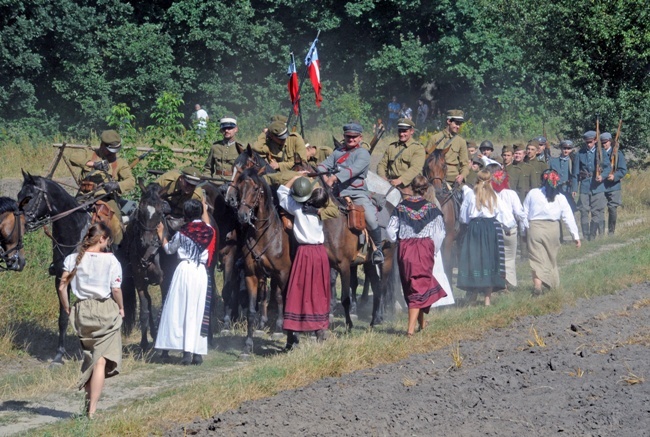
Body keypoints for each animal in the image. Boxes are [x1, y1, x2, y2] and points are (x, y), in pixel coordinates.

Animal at [17, 172, 91, 362]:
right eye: (19, 195)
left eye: (30, 197)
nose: (20, 223)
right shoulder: (60, 279)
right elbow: (64, 316)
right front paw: (59, 354)